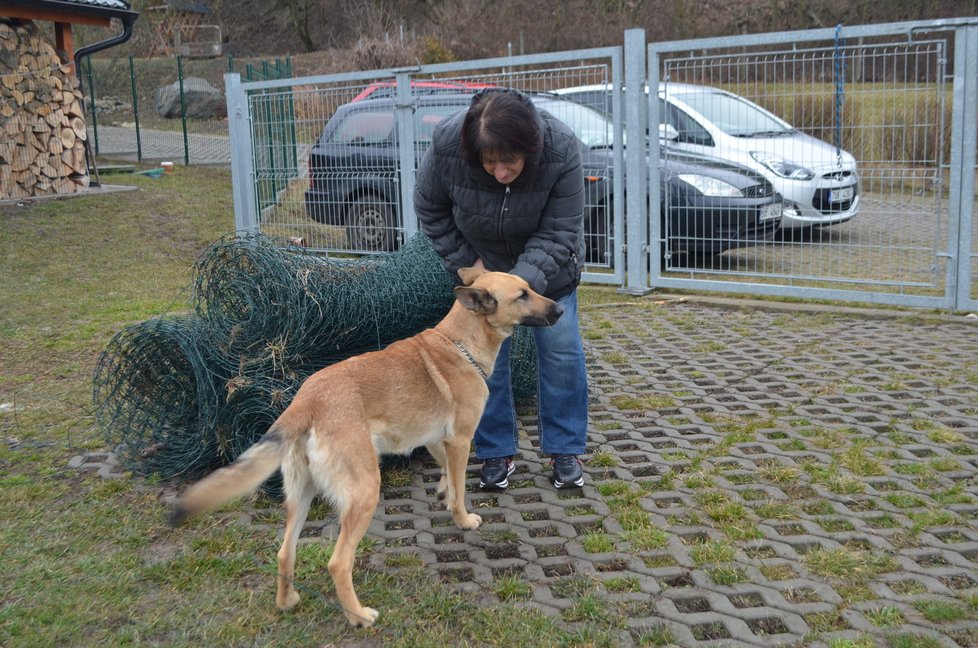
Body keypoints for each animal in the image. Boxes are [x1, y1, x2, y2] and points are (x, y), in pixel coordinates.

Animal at [169, 268, 564, 628]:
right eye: (523, 295)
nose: (560, 309)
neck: (460, 342)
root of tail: (306, 402)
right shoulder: (461, 440)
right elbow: (460, 488)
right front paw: (463, 518)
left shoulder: (437, 440)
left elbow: (447, 475)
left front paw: (442, 491)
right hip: (365, 493)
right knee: (338, 562)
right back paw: (357, 615)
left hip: (301, 496)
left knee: (284, 552)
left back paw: (288, 601)